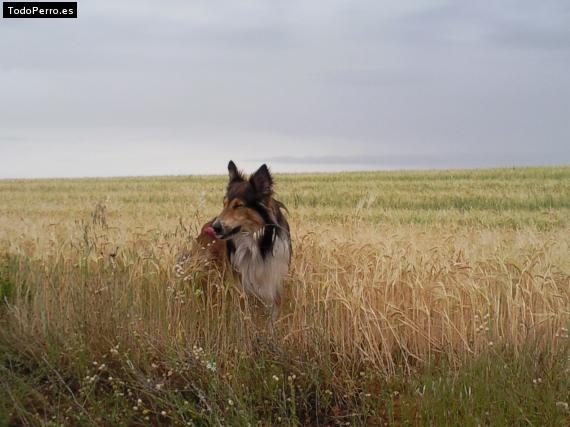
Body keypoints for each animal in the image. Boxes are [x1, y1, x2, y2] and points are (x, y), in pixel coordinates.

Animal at [178, 160, 290, 320]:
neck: (257, 244)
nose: (215, 227)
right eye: (224, 204)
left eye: (238, 205)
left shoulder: (273, 281)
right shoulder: (240, 283)